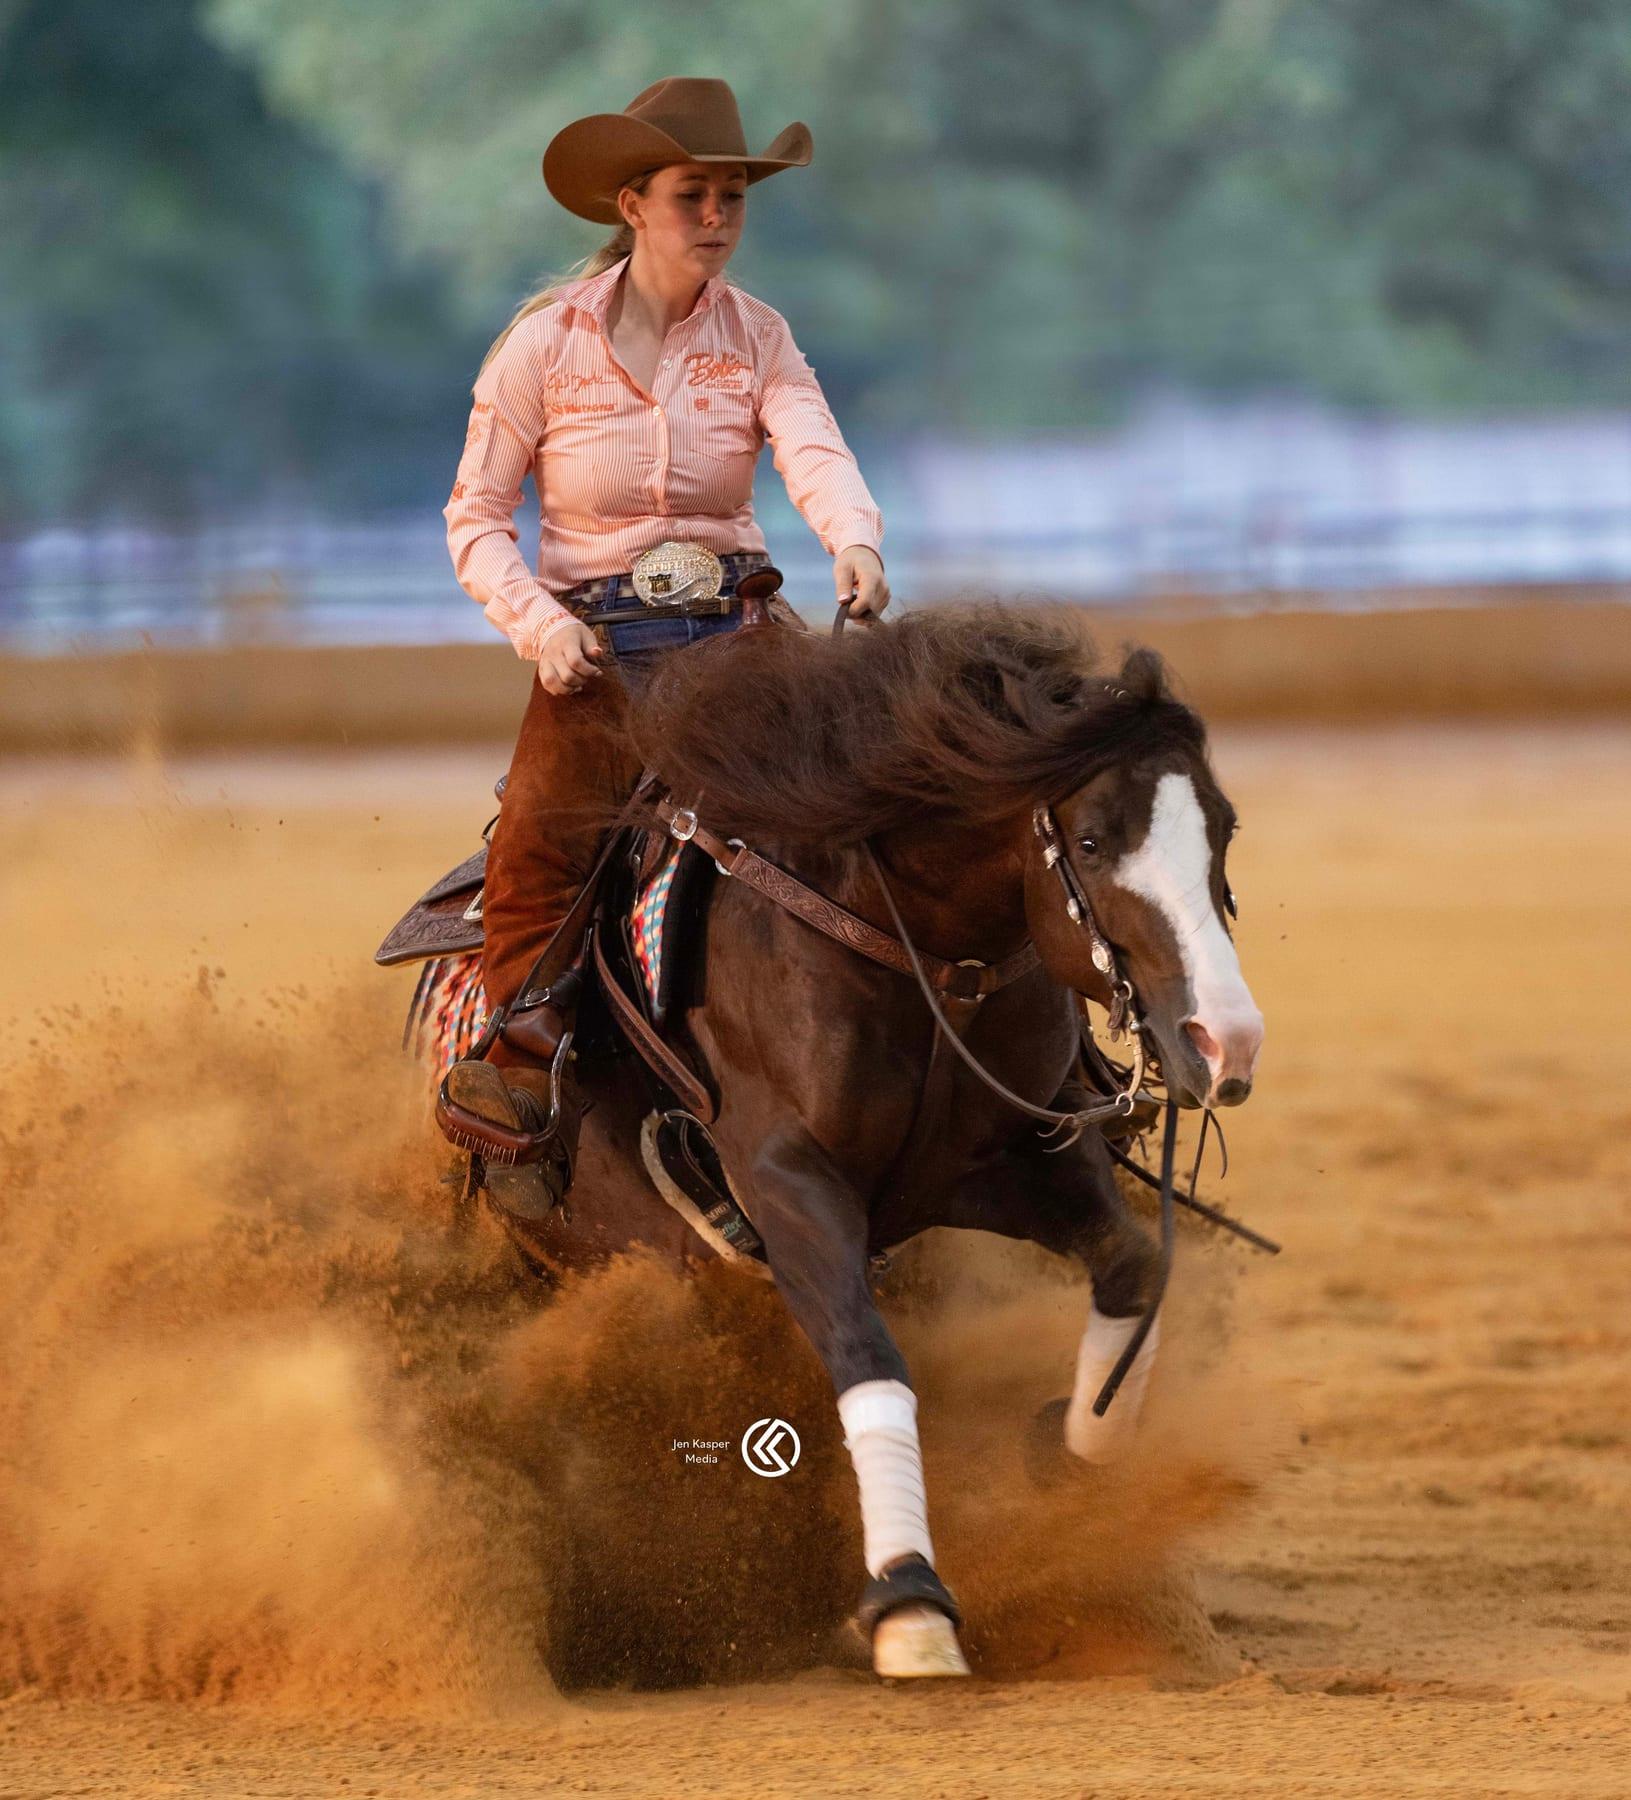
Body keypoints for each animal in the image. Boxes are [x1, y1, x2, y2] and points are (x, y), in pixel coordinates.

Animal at [409, 604, 1264, 1681]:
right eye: (1093, 837)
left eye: (1221, 830)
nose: (1224, 1042)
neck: (916, 954)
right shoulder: (785, 1179)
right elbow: (864, 1350)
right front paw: (908, 1601)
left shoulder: (1018, 1160)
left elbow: (1134, 1269)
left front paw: (1066, 1451)